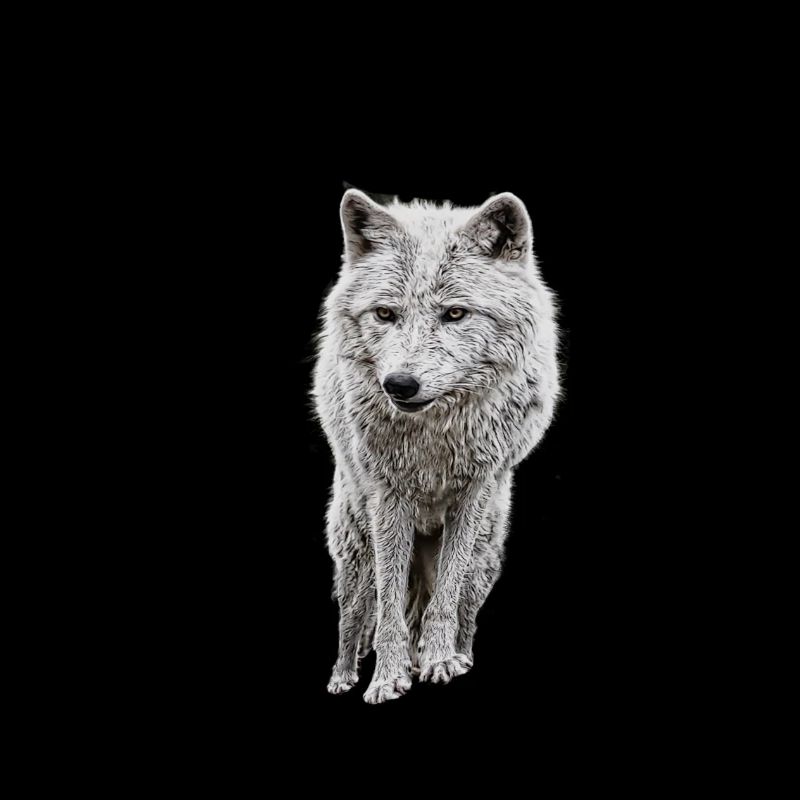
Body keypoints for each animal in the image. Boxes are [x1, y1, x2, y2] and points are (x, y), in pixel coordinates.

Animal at [312, 189, 560, 703]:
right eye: (385, 314)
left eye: (455, 313)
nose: (399, 384)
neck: (434, 435)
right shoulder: (389, 499)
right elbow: (387, 608)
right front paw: (387, 677)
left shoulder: (474, 493)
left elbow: (446, 594)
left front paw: (439, 660)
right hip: (355, 548)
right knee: (354, 614)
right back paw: (344, 676)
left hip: (487, 555)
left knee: (460, 605)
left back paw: (456, 655)